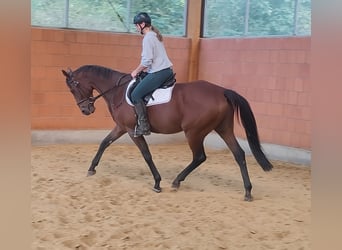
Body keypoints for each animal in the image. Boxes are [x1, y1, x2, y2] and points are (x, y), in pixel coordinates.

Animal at [62, 64, 272, 201]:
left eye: (72, 88)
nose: (86, 110)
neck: (118, 91)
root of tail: (222, 91)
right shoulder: (121, 127)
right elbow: (104, 142)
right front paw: (92, 168)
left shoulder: (131, 130)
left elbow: (146, 155)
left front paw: (157, 182)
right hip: (223, 129)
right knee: (239, 154)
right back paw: (247, 191)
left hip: (194, 132)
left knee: (199, 157)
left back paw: (177, 181)